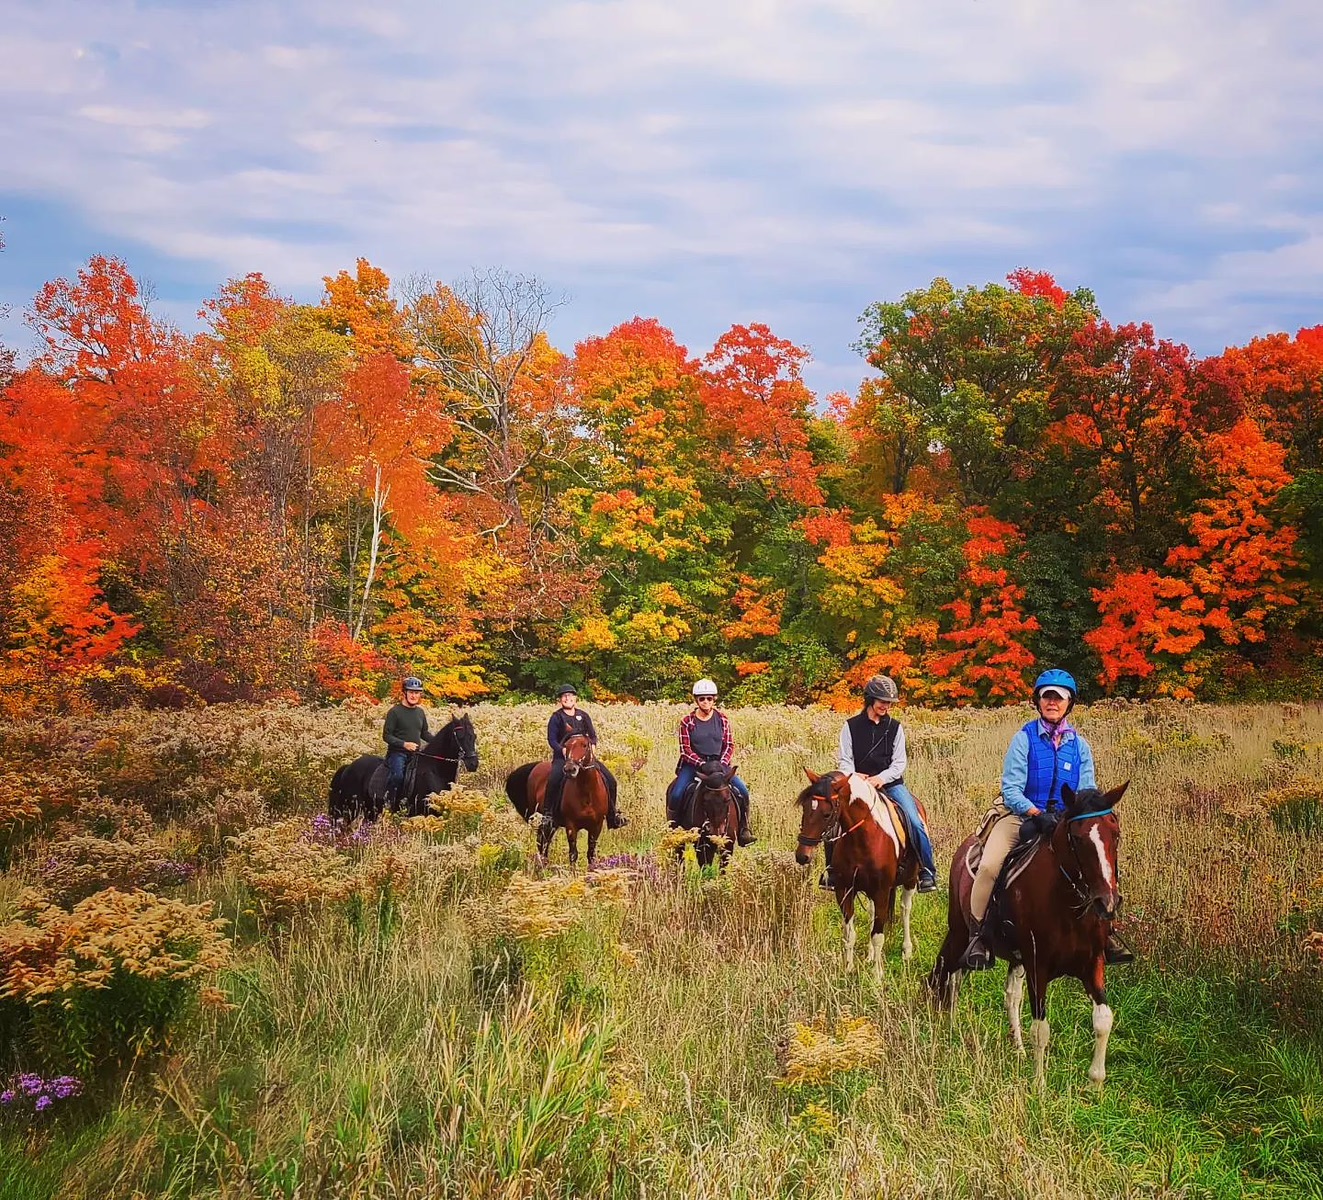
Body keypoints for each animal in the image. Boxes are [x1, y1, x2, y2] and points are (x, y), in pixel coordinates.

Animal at [330, 714, 481, 825]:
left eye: (474, 736)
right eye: (460, 737)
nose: (473, 763)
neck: (435, 772)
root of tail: (348, 767)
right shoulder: (424, 813)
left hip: (370, 810)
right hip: (351, 809)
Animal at [505, 730, 608, 862]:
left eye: (584, 745)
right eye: (566, 746)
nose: (570, 769)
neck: (587, 794)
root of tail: (536, 766)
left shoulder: (596, 826)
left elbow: (591, 854)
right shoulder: (571, 825)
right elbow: (573, 854)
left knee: (543, 840)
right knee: (542, 841)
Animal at [793, 772, 920, 979]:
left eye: (827, 814)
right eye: (805, 807)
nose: (802, 856)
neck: (863, 838)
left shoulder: (882, 891)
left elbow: (878, 936)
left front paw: (877, 976)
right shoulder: (844, 890)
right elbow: (849, 934)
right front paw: (848, 968)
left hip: (910, 880)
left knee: (905, 910)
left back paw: (907, 951)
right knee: (872, 913)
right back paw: (870, 955)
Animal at [926, 783, 1132, 1095]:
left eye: (1115, 833)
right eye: (1077, 838)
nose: (1107, 902)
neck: (1067, 907)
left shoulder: (1092, 963)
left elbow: (1103, 1019)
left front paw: (1096, 1084)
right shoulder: (1038, 966)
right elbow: (1041, 1028)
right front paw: (1040, 1085)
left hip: (1016, 958)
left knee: (1010, 997)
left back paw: (1019, 1049)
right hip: (961, 933)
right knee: (950, 974)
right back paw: (947, 1025)